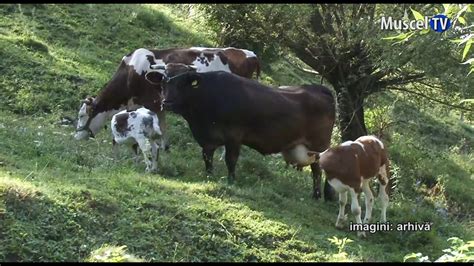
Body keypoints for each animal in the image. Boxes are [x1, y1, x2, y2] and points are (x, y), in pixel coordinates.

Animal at [73, 46, 262, 149]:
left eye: (82, 115)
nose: (76, 137)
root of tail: (250, 54)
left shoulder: (151, 103)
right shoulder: (153, 104)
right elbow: (162, 126)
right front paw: (164, 146)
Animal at [160, 66, 336, 200]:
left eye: (183, 84)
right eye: (165, 83)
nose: (166, 103)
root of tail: (319, 89)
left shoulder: (233, 136)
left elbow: (230, 160)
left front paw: (231, 180)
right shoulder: (208, 139)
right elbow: (207, 157)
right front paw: (209, 175)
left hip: (318, 147)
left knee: (317, 170)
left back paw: (317, 195)